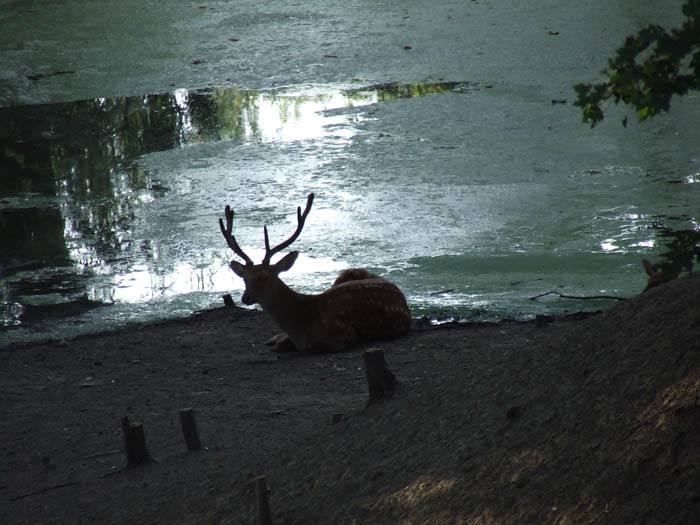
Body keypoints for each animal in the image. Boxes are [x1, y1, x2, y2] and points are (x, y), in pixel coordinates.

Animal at [219, 193, 412, 353]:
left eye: (263, 276)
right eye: (244, 278)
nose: (246, 298)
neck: (304, 321)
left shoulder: (344, 335)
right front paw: (278, 341)